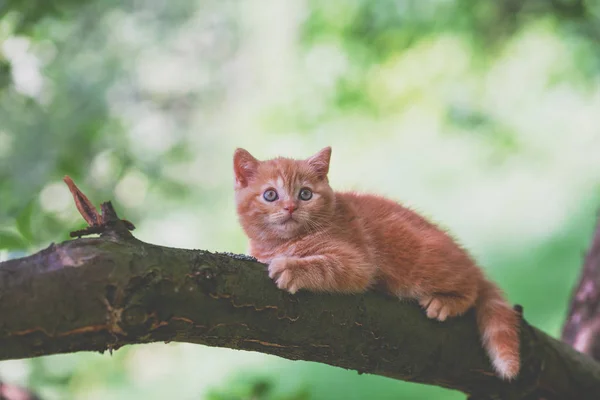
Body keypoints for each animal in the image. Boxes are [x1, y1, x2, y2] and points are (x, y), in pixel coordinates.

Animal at [233, 146, 520, 378]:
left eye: (305, 194)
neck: (279, 243)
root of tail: (468, 260)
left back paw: (447, 301)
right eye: (271, 195)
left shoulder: (358, 262)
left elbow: (324, 265)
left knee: (473, 287)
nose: (291, 207)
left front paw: (290, 268)